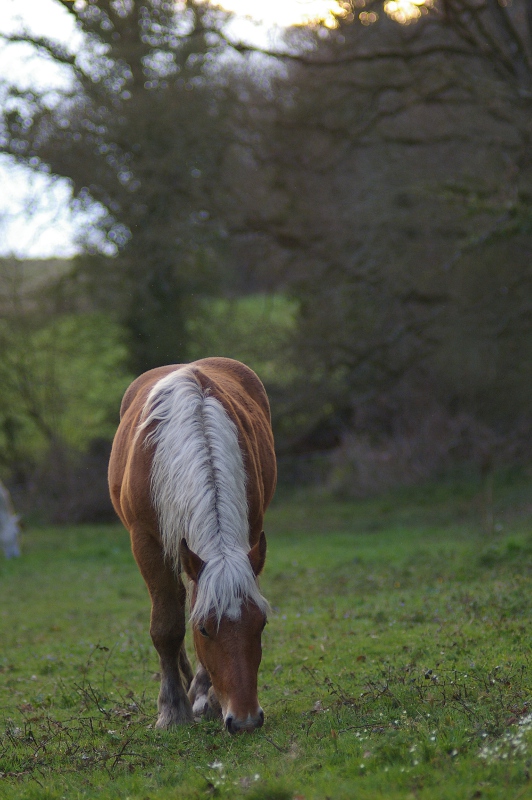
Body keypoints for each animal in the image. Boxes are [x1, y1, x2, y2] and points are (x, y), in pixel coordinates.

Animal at [106, 360, 276, 736]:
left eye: (261, 625)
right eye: (204, 629)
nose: (245, 720)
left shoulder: (250, 533)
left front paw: (206, 698)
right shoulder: (146, 541)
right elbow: (166, 624)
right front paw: (172, 711)